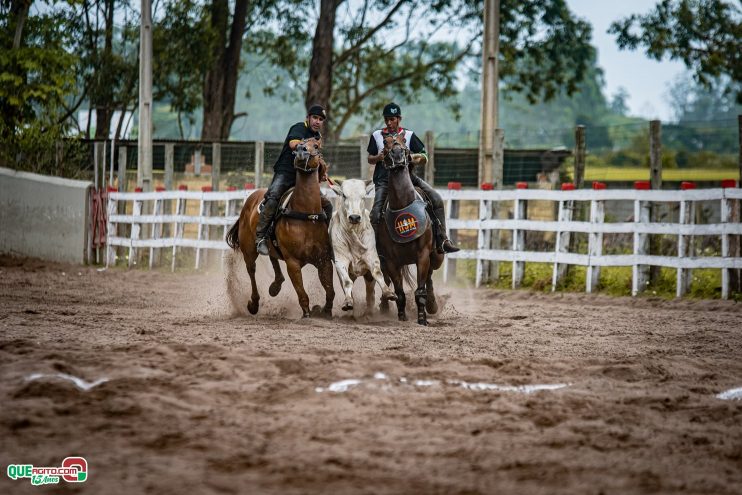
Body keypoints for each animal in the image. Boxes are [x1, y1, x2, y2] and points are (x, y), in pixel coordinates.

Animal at [224, 138, 334, 320]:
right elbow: (302, 293)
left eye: (316, 146)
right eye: (298, 145)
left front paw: (325, 311)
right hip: (249, 250)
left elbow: (330, 290)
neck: (306, 215)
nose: (301, 152)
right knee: (251, 270)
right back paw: (253, 304)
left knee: (272, 257)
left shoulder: (323, 260)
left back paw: (276, 285)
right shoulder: (293, 263)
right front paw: (307, 314)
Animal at [332, 180, 398, 316]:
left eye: (363, 196)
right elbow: (347, 282)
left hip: (367, 276)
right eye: (344, 195)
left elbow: (378, 273)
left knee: (370, 292)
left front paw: (389, 293)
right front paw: (348, 302)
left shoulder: (372, 257)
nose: (354, 217)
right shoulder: (340, 261)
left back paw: (369, 311)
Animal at [380, 132, 444, 326]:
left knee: (430, 277)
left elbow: (420, 290)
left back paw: (432, 305)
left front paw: (422, 318)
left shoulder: (422, 255)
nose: (397, 154)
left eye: (403, 141)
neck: (403, 204)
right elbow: (399, 292)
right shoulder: (391, 261)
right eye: (385, 141)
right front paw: (402, 316)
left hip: (436, 256)